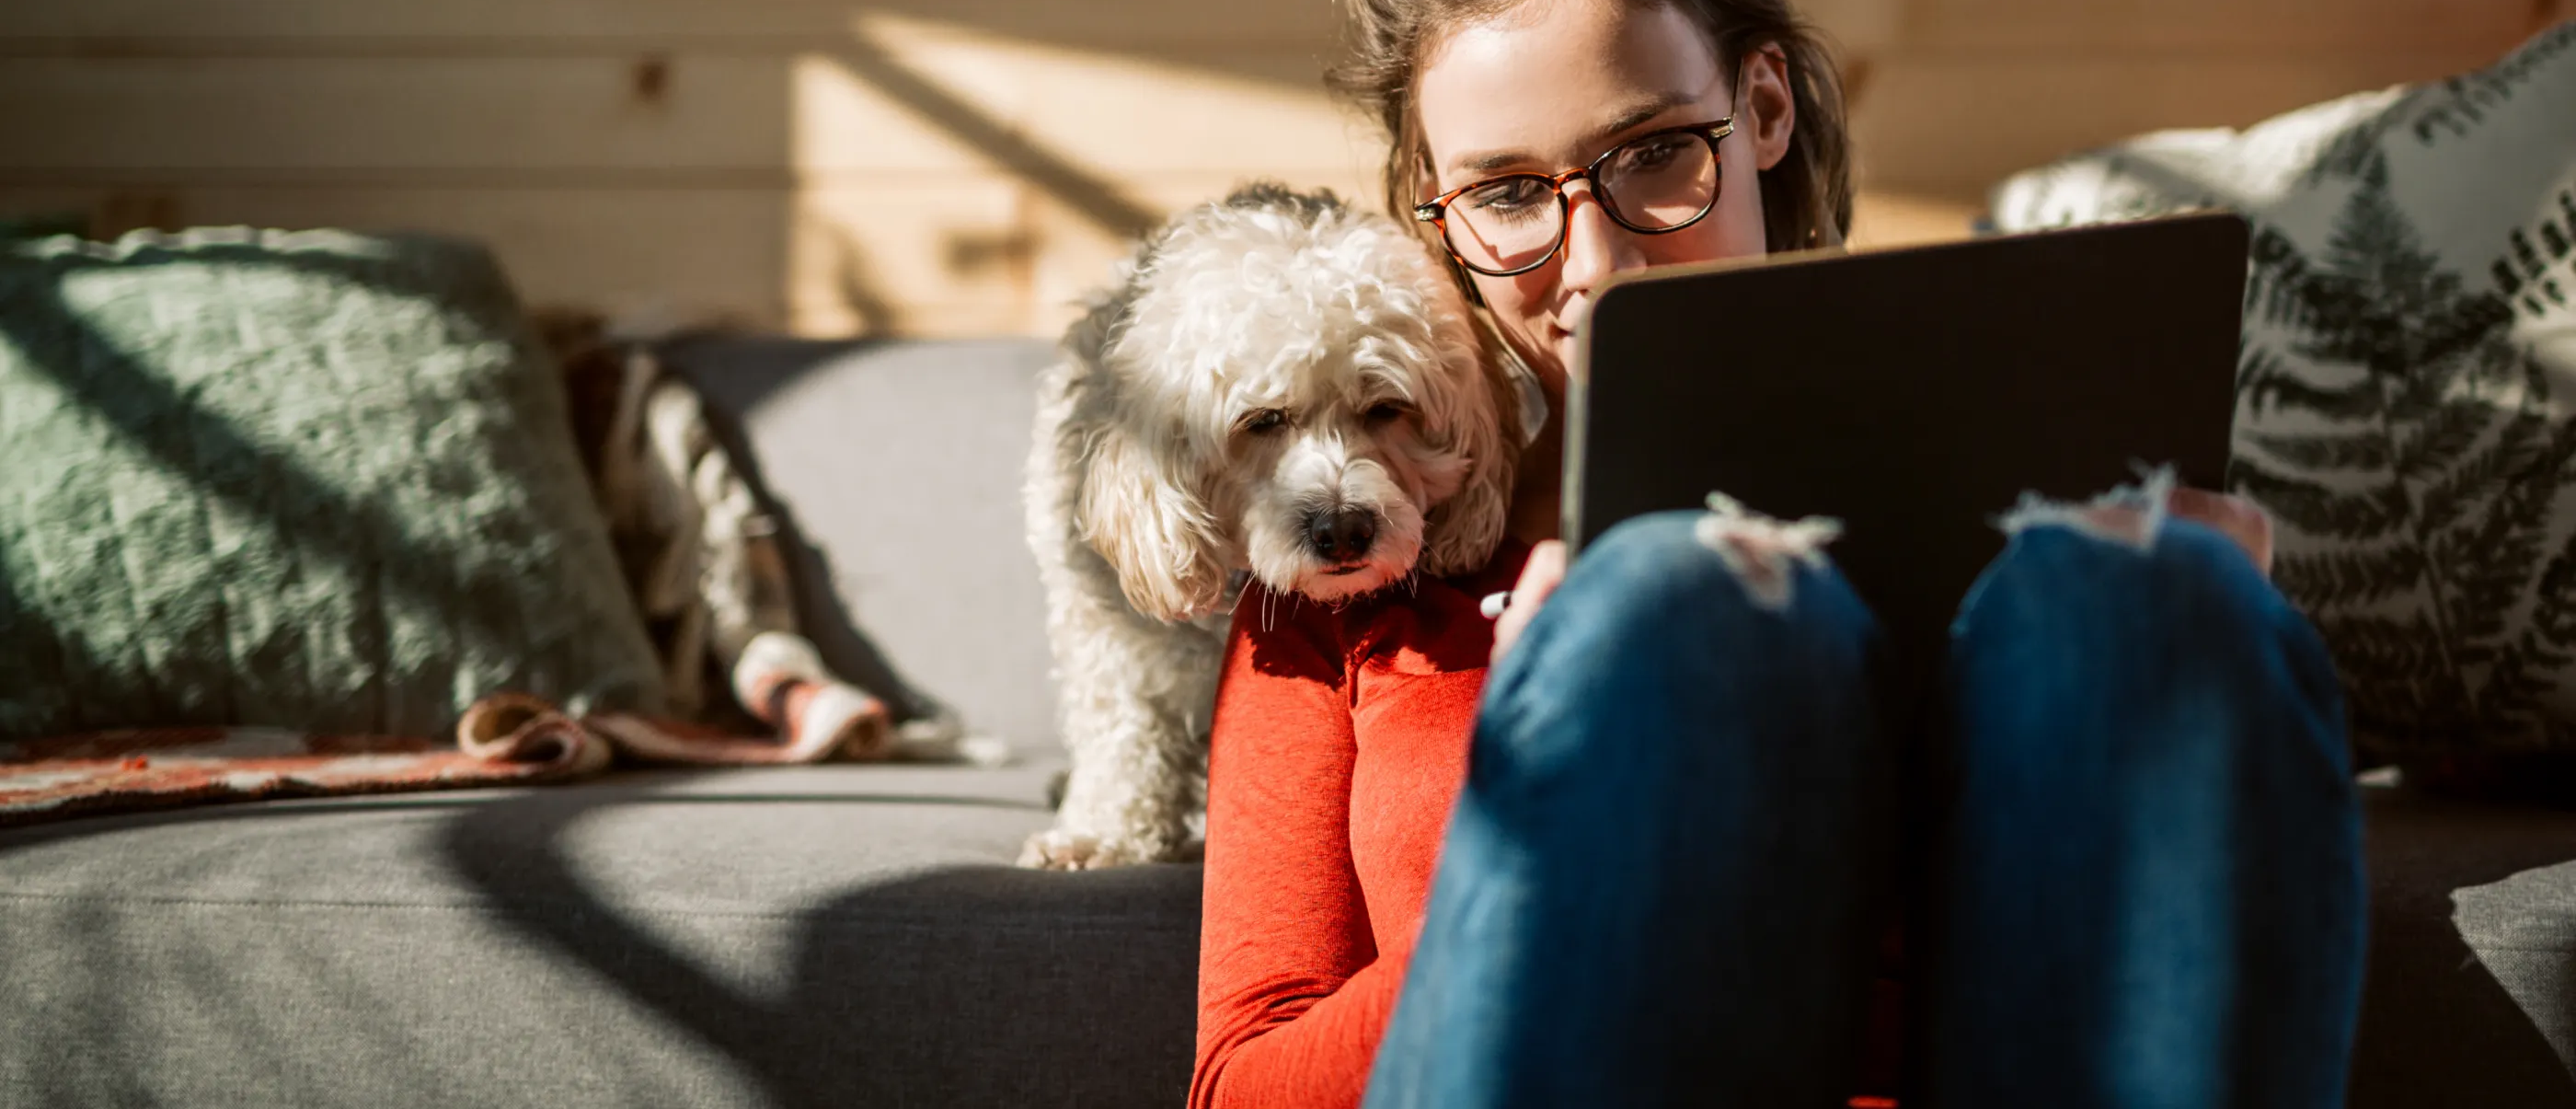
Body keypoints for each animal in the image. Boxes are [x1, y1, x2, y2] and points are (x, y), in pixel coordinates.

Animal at [1015, 185, 1514, 872]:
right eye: (1263, 420)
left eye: (1387, 408)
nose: (1343, 529)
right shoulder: (1107, 631)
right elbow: (1122, 730)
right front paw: (1101, 833)